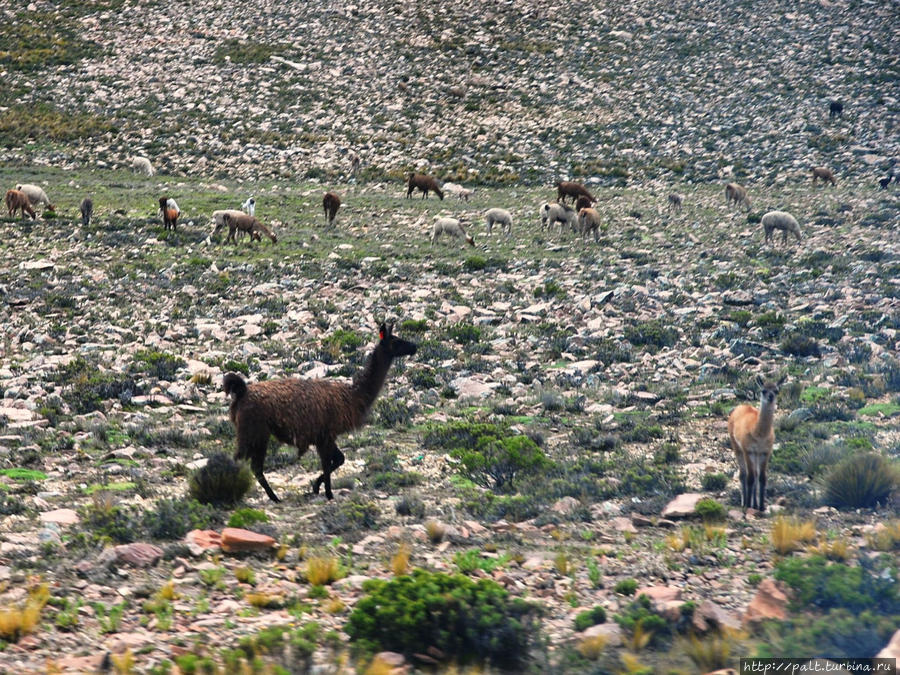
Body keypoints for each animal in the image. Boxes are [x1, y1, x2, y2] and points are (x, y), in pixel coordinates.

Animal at [223, 322, 416, 502]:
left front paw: (316, 486)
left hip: (256, 433)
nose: (414, 347)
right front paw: (328, 494)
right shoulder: (325, 435)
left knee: (252, 466)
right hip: (254, 432)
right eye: (396, 341)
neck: (353, 395)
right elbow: (327, 464)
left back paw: (272, 497)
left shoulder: (326, 436)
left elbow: (339, 460)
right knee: (243, 462)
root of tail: (242, 392)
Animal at [728, 374, 784, 512]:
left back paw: (755, 504)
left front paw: (761, 506)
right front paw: (748, 504)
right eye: (763, 390)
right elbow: (750, 478)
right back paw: (745, 502)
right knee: (743, 475)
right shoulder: (748, 451)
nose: (770, 397)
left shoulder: (765, 452)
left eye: (776, 390)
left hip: (756, 455)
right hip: (737, 447)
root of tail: (740, 406)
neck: (758, 433)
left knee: (756, 475)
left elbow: (762, 478)